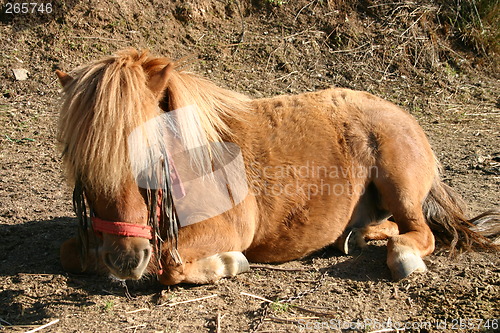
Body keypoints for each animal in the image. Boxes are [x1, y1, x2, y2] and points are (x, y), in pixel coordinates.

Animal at [55, 48, 496, 282]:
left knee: (420, 232)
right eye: (79, 159)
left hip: (398, 180)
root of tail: (403, 114)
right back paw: (356, 235)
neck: (193, 154)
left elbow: (169, 265)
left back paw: (401, 255)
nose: (124, 259)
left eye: (150, 155)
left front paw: (228, 262)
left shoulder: (228, 229)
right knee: (392, 225)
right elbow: (70, 251)